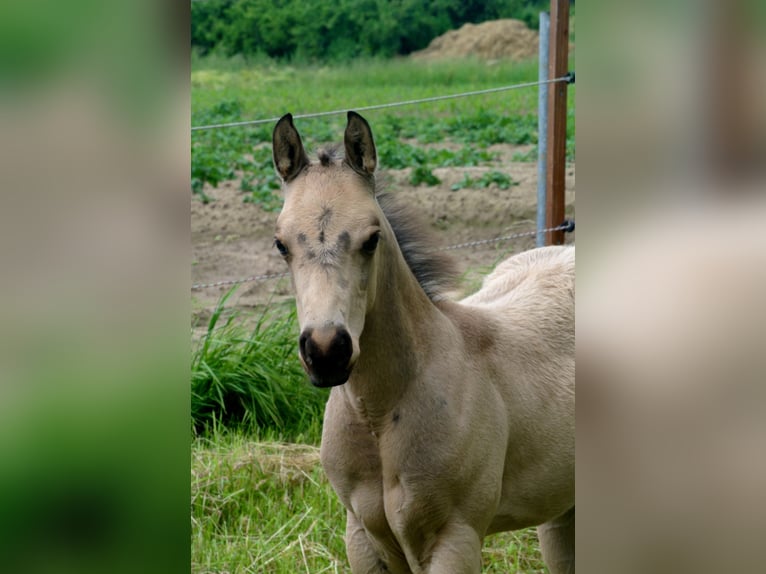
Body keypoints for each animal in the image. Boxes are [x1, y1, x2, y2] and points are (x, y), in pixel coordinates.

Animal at [271, 111, 575, 574]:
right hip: (561, 510)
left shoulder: (454, 539)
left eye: (372, 239)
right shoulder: (361, 537)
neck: (379, 415)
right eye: (281, 244)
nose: (326, 352)